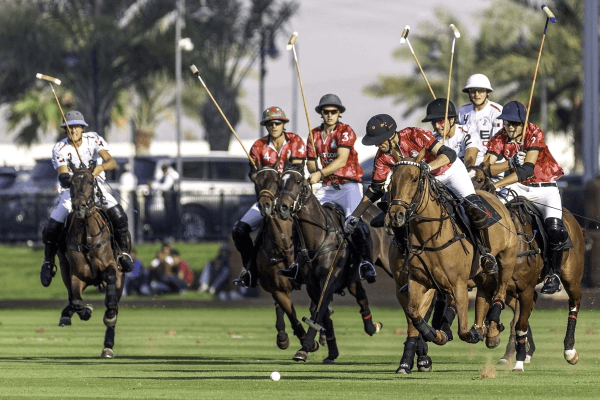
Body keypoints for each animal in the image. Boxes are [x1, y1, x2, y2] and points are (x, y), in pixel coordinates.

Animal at [55, 162, 123, 358]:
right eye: (70, 183)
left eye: (92, 182)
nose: (80, 207)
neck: (88, 236)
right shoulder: (77, 275)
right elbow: (77, 301)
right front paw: (86, 311)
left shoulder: (111, 266)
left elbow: (110, 287)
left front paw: (109, 315)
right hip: (64, 268)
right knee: (71, 296)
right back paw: (66, 314)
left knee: (115, 304)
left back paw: (108, 345)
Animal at [276, 164, 391, 363]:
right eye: (280, 181)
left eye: (298, 182)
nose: (281, 207)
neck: (318, 239)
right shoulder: (312, 285)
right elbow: (323, 317)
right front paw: (330, 352)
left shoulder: (328, 281)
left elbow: (319, 312)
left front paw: (305, 346)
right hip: (352, 278)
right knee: (362, 296)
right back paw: (372, 327)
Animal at [385, 151, 520, 360]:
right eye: (392, 181)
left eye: (414, 179)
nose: (395, 216)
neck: (430, 236)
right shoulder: (419, 280)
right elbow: (414, 313)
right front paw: (435, 334)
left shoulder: (458, 284)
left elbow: (464, 330)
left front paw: (473, 332)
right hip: (480, 274)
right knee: (487, 291)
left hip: (507, 256)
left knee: (500, 291)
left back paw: (491, 329)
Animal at [468, 165, 584, 369]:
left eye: (480, 179)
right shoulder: (488, 288)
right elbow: (486, 320)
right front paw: (494, 335)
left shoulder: (526, 289)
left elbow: (520, 325)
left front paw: (519, 361)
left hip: (571, 276)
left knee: (574, 302)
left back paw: (569, 351)